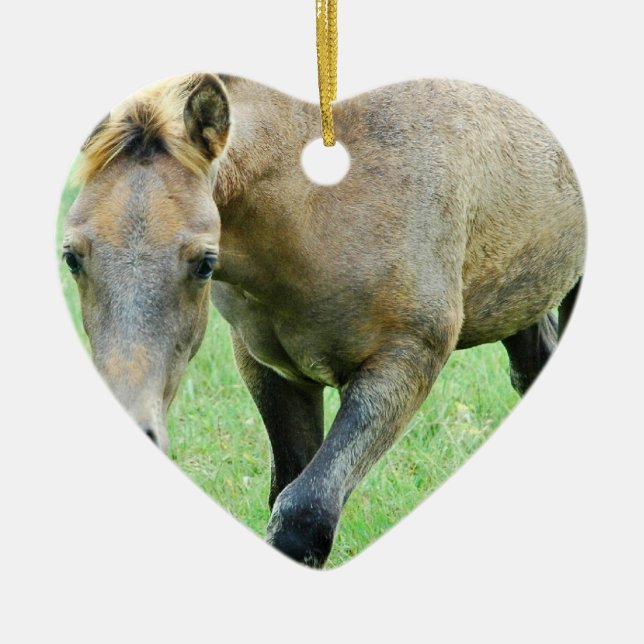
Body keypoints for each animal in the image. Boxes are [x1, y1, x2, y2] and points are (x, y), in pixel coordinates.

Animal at [62, 72, 585, 567]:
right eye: (71, 257)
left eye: (205, 263)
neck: (315, 207)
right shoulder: (271, 370)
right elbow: (286, 488)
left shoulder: (405, 359)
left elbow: (303, 513)